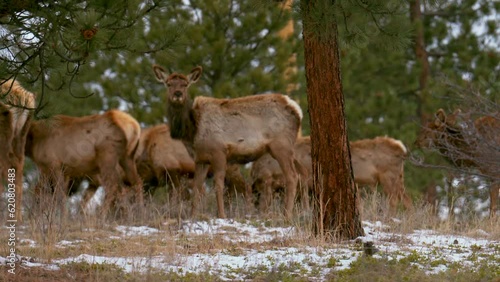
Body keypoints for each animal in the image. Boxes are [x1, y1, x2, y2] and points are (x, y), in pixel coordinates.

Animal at [152, 64, 300, 218]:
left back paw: (287, 215)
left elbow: (218, 185)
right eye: (168, 84)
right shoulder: (201, 159)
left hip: (282, 146)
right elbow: (197, 187)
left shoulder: (219, 152)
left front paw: (221, 215)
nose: (178, 94)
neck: (192, 131)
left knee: (292, 177)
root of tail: (297, 109)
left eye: (185, 84)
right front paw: (193, 215)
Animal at [252, 135, 412, 213]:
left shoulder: (306, 179)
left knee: (394, 200)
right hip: (399, 178)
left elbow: (305, 200)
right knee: (406, 199)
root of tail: (402, 150)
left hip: (388, 176)